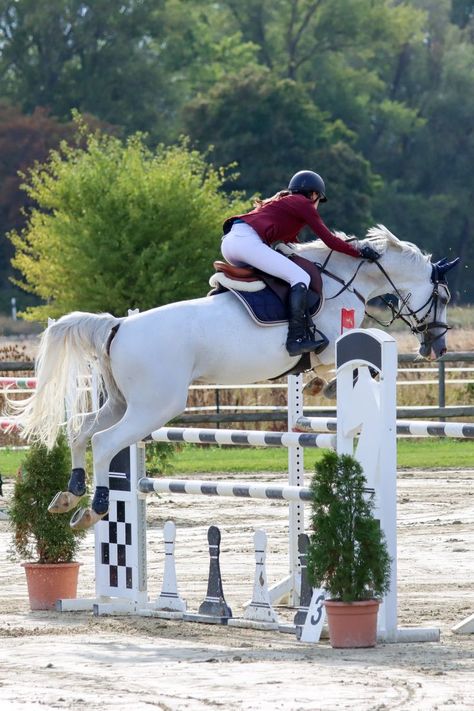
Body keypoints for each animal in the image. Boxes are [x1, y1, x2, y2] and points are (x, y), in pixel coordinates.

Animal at [9, 227, 458, 528]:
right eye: (443, 297)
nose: (437, 348)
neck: (345, 281)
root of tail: (118, 326)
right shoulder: (331, 346)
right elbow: (334, 365)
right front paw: (323, 384)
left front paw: (316, 386)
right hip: (155, 406)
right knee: (103, 442)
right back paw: (96, 508)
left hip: (122, 401)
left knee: (81, 430)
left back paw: (69, 496)